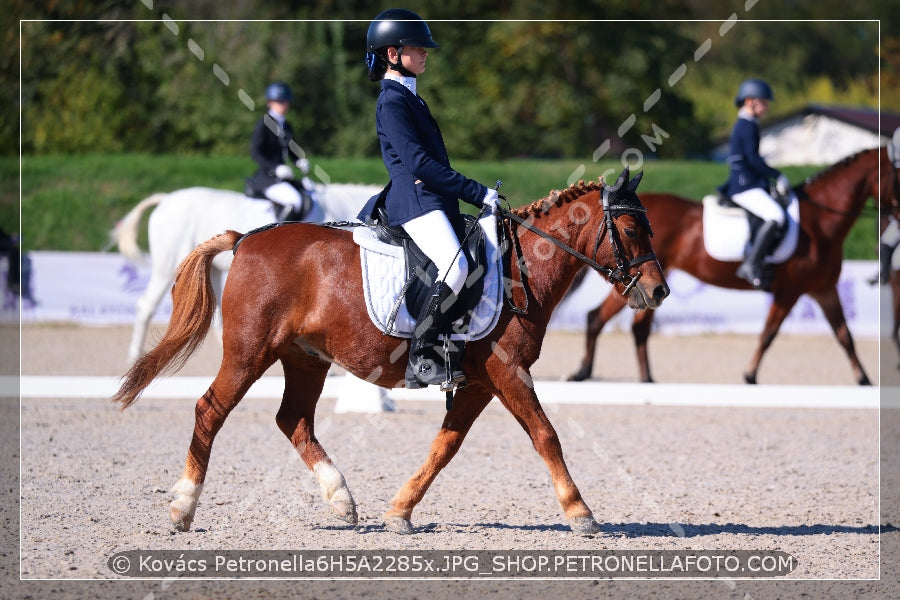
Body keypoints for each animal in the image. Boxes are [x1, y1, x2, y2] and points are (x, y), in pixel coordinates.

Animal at [110, 169, 668, 536]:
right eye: (632, 230)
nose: (658, 292)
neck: (519, 267)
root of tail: (244, 238)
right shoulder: (507, 372)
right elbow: (546, 435)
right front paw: (581, 513)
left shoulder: (480, 381)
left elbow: (445, 447)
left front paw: (400, 512)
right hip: (250, 352)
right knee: (211, 409)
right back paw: (183, 508)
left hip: (306, 358)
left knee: (293, 419)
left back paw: (341, 501)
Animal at [568, 148, 892, 386]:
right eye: (896, 174)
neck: (819, 223)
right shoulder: (790, 291)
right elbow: (768, 333)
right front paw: (749, 376)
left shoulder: (824, 289)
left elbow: (845, 336)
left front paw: (864, 381)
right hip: (638, 281)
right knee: (597, 317)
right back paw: (582, 373)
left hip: (652, 283)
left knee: (639, 329)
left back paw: (646, 380)